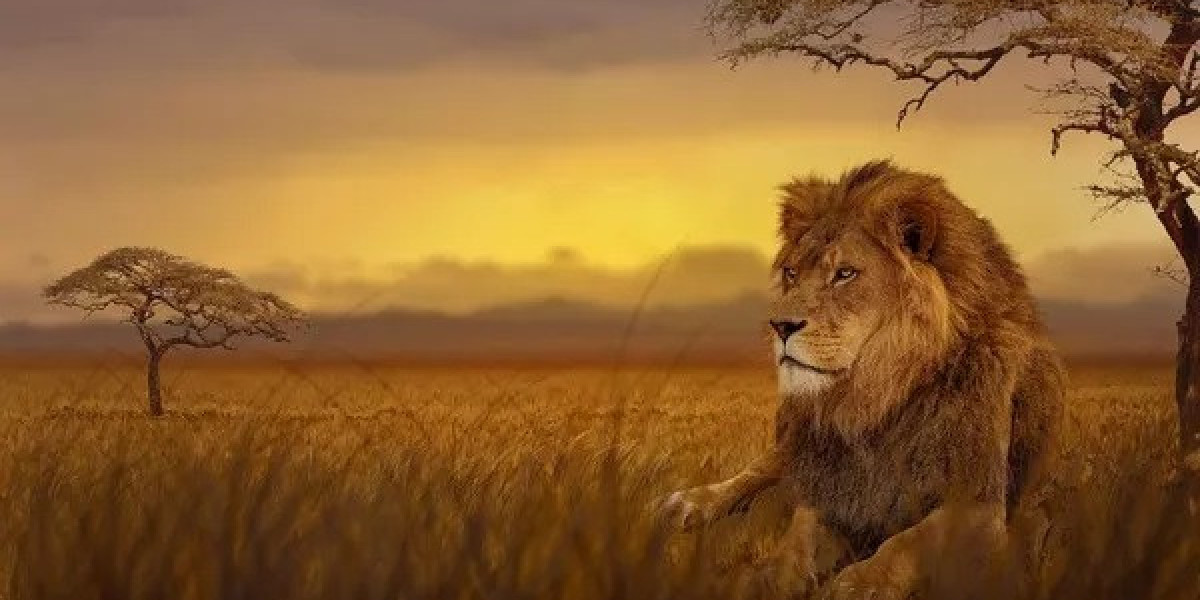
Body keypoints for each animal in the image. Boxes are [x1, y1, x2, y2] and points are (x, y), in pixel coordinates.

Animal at [660, 160, 1065, 599]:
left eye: (845, 274)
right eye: (791, 273)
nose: (779, 326)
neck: (875, 398)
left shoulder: (980, 502)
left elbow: (909, 541)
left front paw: (860, 583)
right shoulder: (830, 481)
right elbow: (799, 535)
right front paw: (768, 575)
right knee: (763, 469)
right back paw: (690, 504)